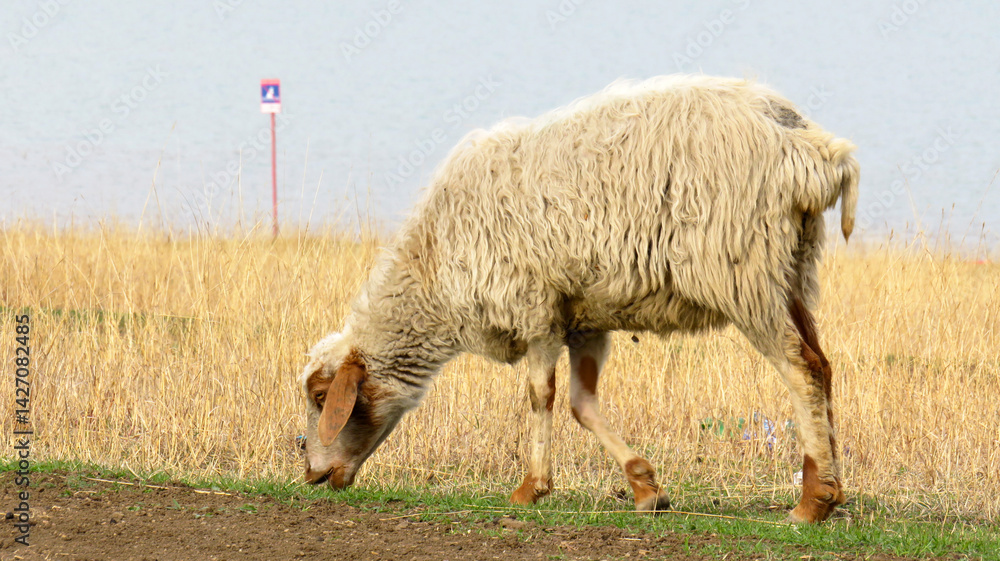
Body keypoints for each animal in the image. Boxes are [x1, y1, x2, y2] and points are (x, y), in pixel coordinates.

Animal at [299, 75, 859, 524]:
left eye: (323, 399)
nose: (312, 475)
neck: (433, 272)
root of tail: (811, 149)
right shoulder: (585, 319)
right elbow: (582, 405)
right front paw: (645, 487)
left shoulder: (534, 309)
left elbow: (539, 397)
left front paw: (531, 489)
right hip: (793, 273)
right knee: (823, 364)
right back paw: (833, 489)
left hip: (745, 275)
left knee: (801, 370)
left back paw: (812, 503)